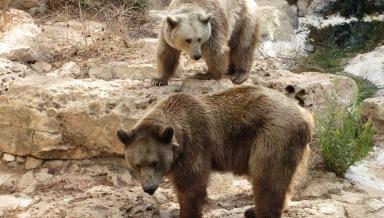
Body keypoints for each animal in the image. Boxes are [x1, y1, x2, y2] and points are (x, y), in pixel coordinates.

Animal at [118, 86, 316, 218]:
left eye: (154, 162)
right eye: (137, 164)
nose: (149, 188)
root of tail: (307, 116)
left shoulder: (195, 146)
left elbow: (191, 187)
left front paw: (186, 212)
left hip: (273, 136)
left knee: (267, 178)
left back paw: (259, 211)